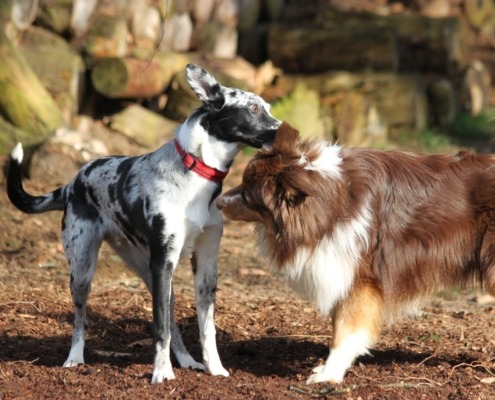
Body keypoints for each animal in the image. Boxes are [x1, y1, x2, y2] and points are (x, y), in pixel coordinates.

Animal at [5, 64, 280, 382]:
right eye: (253, 108)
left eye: (267, 107)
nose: (286, 130)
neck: (196, 174)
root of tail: (72, 182)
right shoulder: (163, 263)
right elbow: (159, 328)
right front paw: (161, 374)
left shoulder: (205, 266)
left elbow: (205, 328)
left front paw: (215, 368)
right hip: (83, 271)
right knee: (80, 320)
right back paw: (75, 358)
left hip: (153, 276)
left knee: (171, 321)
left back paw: (187, 361)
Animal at [218, 121, 495, 384]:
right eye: (243, 182)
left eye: (248, 194)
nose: (218, 202)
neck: (330, 197)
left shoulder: (360, 279)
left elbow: (344, 332)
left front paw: (329, 374)